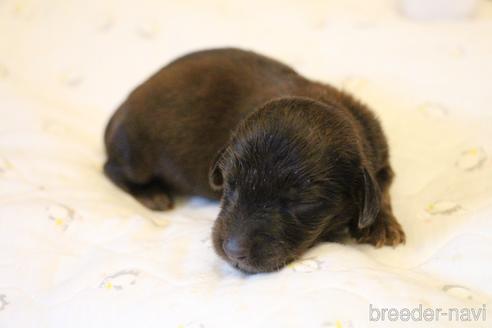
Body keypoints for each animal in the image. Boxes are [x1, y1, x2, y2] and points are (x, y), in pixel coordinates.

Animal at [104, 48, 404, 274]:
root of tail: (120, 108)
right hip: (134, 154)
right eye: (229, 184)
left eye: (303, 202)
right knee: (111, 169)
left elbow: (381, 189)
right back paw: (153, 194)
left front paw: (381, 224)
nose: (233, 251)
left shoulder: (380, 156)